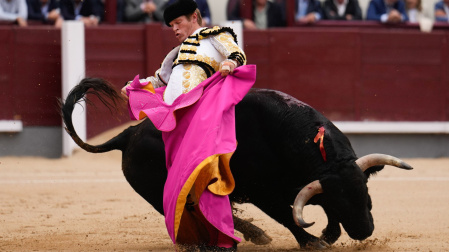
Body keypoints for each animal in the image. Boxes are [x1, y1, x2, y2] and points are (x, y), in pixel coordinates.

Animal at [60, 78, 412, 248]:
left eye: (366, 196)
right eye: (344, 201)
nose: (365, 231)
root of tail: (129, 133)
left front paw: (328, 234)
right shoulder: (261, 191)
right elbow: (287, 215)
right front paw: (314, 242)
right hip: (160, 193)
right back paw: (241, 237)